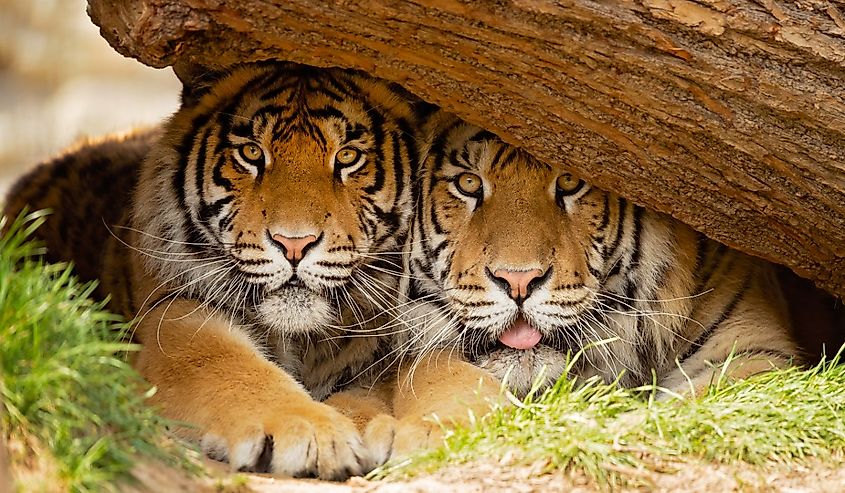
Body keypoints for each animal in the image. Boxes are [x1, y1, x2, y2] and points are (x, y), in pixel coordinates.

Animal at [2, 61, 434, 479]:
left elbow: (367, 393)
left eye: (347, 157)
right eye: (251, 153)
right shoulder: (174, 318)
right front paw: (312, 432)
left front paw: (374, 427)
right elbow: (233, 369)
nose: (294, 244)